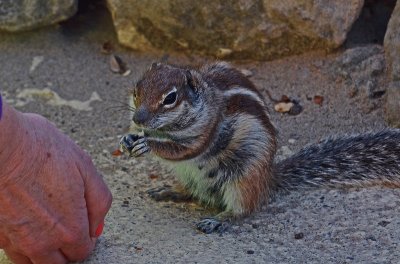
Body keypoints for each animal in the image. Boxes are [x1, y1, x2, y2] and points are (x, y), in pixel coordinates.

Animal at [119, 61, 400, 233]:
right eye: (137, 89)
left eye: (171, 98)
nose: (138, 119)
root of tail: (268, 179)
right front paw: (128, 139)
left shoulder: (206, 132)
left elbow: (182, 149)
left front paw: (148, 144)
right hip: (190, 176)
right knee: (192, 191)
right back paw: (168, 190)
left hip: (243, 179)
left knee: (244, 209)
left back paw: (218, 220)